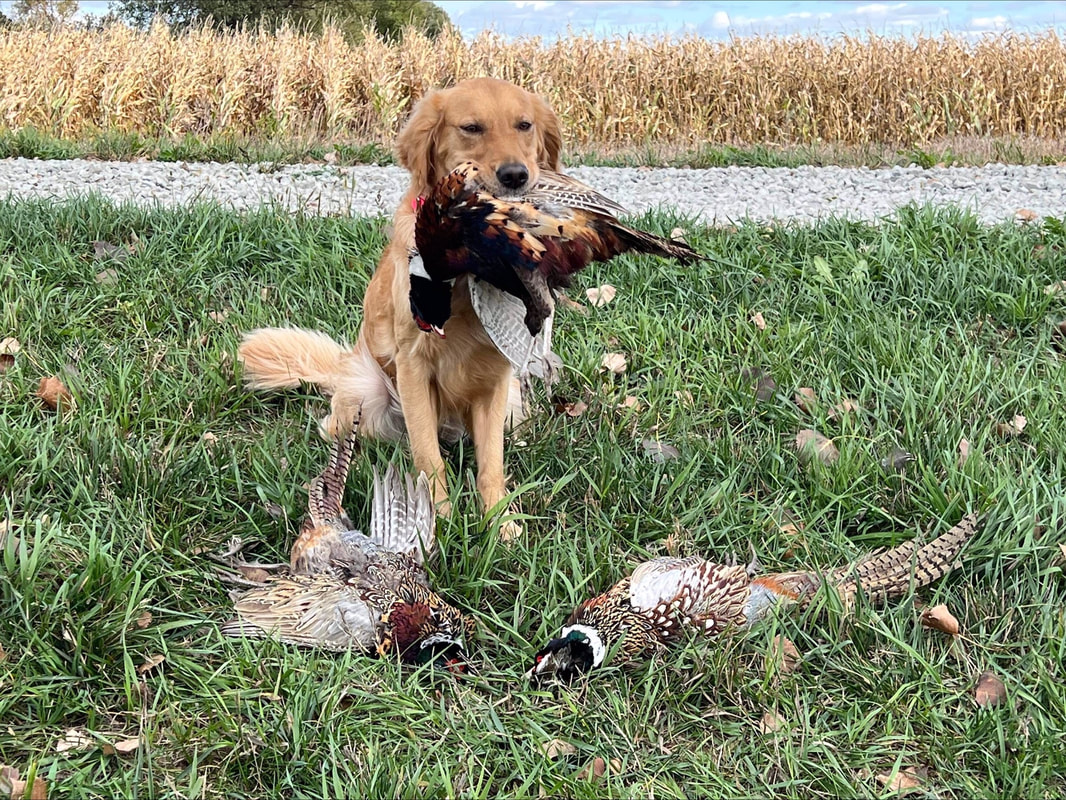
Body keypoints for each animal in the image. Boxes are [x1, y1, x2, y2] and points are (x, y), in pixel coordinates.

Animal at [238, 78, 562, 539]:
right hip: (367, 393)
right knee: (340, 428)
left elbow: (491, 465)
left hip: (512, 403)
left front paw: (500, 524)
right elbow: (428, 456)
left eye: (524, 125)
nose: (516, 176)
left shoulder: (496, 377)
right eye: (471, 128)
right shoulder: (413, 366)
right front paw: (438, 520)